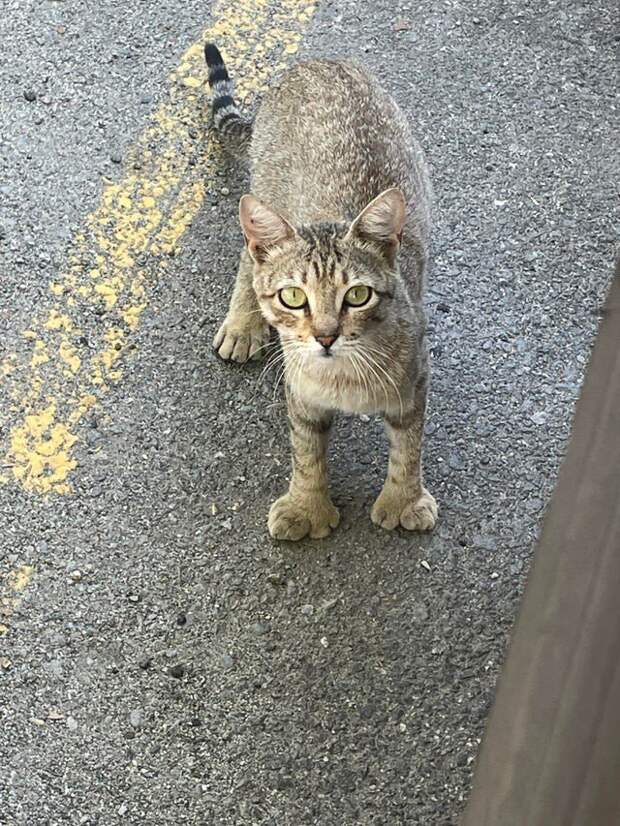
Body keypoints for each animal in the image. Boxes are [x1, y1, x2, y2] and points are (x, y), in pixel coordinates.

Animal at [203, 43, 436, 540]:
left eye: (357, 296)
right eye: (293, 297)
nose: (326, 335)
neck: (344, 376)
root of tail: (316, 62)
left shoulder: (414, 383)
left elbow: (408, 447)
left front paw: (403, 500)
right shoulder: (302, 394)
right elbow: (306, 452)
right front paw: (306, 506)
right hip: (264, 193)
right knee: (248, 257)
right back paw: (242, 323)